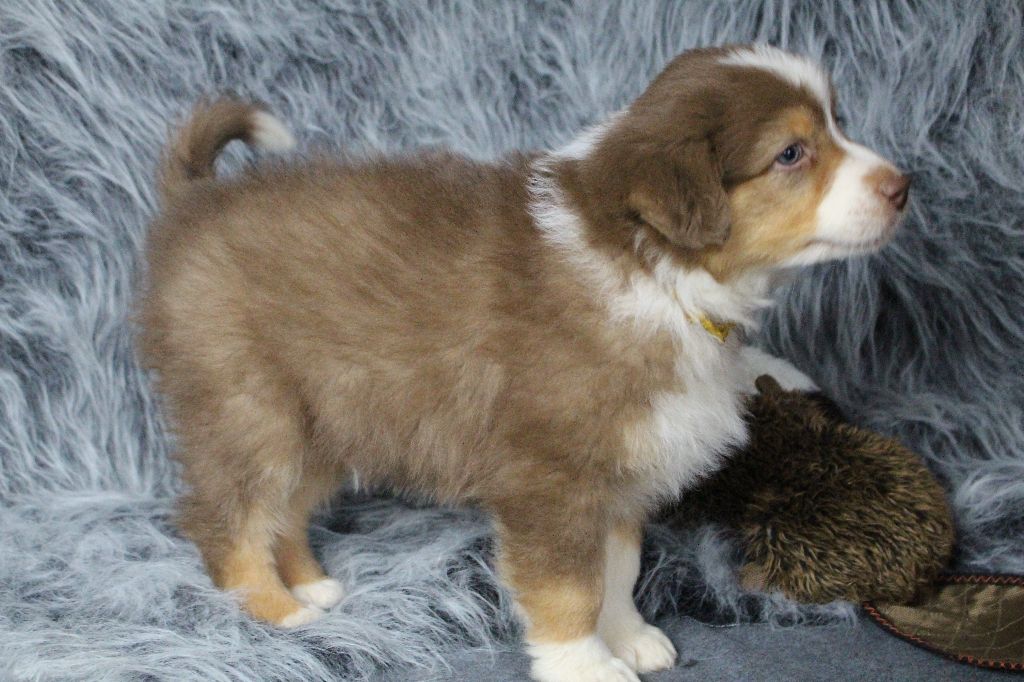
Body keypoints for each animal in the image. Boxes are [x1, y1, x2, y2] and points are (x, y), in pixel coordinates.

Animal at [139, 45, 908, 682]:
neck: (658, 273)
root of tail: (197, 203)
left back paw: (311, 584)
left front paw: (630, 638)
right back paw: (279, 613)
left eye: (837, 126)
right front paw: (586, 668)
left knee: (288, 508)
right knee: (230, 522)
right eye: (791, 153)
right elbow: (569, 587)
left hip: (326, 416)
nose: (903, 186)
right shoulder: (552, 474)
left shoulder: (621, 465)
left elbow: (617, 568)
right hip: (250, 408)